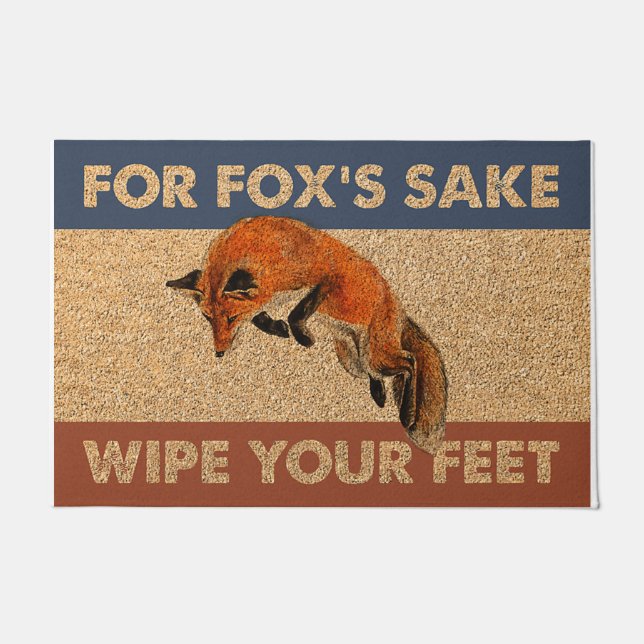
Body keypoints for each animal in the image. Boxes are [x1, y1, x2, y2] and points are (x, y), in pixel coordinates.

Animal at [166, 216, 447, 454]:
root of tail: (399, 309)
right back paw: (379, 395)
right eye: (208, 318)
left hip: (376, 355)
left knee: (410, 362)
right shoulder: (273, 295)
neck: (273, 250)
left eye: (231, 318)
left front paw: (301, 336)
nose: (219, 352)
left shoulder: (325, 279)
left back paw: (407, 414)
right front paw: (277, 328)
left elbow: (296, 312)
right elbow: (261, 315)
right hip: (352, 361)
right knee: (380, 373)